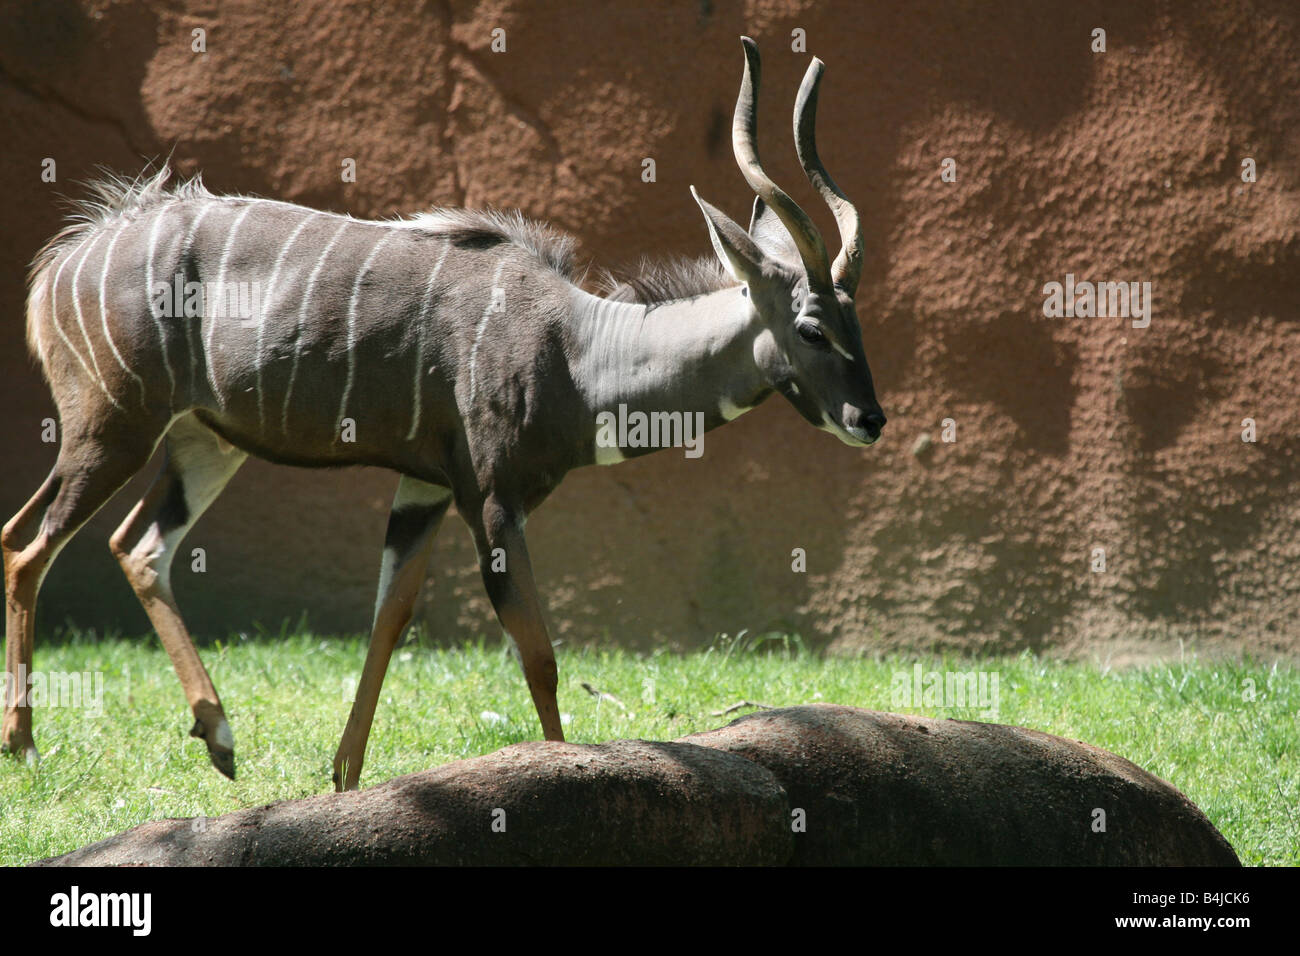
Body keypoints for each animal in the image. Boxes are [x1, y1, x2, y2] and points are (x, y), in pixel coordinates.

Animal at [2, 37, 883, 790]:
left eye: (857, 322)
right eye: (812, 328)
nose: (871, 418)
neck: (575, 347)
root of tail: (64, 263)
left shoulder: (421, 491)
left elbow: (389, 621)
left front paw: (344, 778)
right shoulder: (488, 498)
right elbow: (537, 651)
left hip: (201, 444)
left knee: (132, 545)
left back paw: (217, 738)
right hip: (113, 427)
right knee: (29, 547)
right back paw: (29, 745)